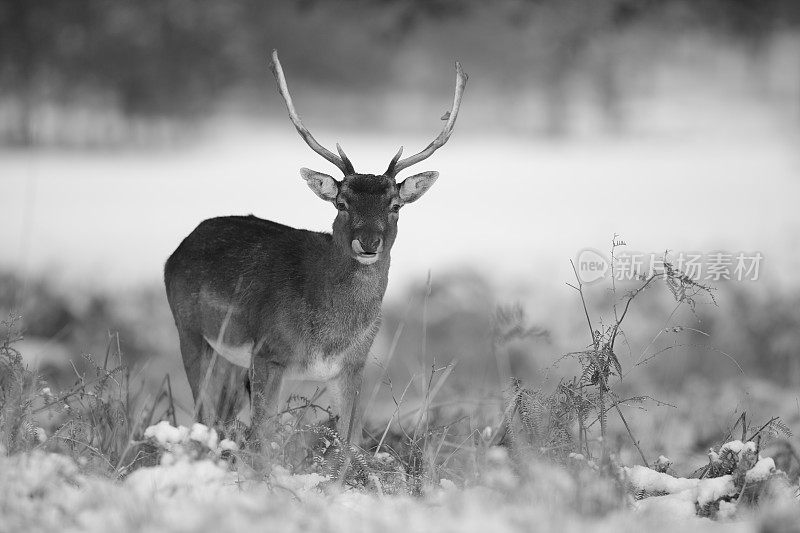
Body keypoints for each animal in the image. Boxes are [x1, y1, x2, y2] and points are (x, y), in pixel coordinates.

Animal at [166, 50, 466, 442]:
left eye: (395, 206)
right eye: (341, 203)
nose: (368, 242)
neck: (328, 337)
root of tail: (178, 249)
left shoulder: (354, 364)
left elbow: (348, 440)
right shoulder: (268, 352)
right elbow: (263, 436)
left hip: (229, 358)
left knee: (221, 414)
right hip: (189, 331)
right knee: (204, 413)